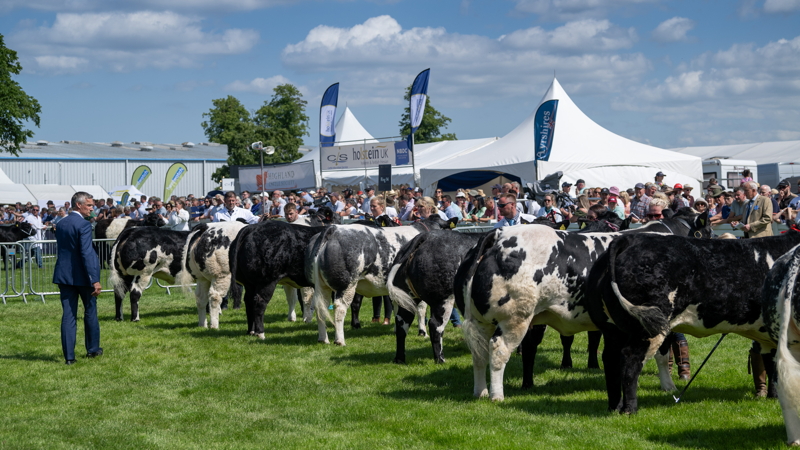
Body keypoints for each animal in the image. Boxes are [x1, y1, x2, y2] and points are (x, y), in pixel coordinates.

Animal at [454, 209, 708, 402]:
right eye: (706, 232)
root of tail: (499, 234)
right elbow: (662, 354)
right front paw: (668, 386)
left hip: (481, 320)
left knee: (479, 353)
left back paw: (480, 391)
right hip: (515, 319)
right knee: (498, 351)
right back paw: (496, 396)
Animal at [580, 229, 800, 414]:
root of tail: (630, 239)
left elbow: (774, 365)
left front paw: (774, 396)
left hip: (612, 329)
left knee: (610, 359)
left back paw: (614, 406)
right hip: (645, 329)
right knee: (629, 361)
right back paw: (629, 409)